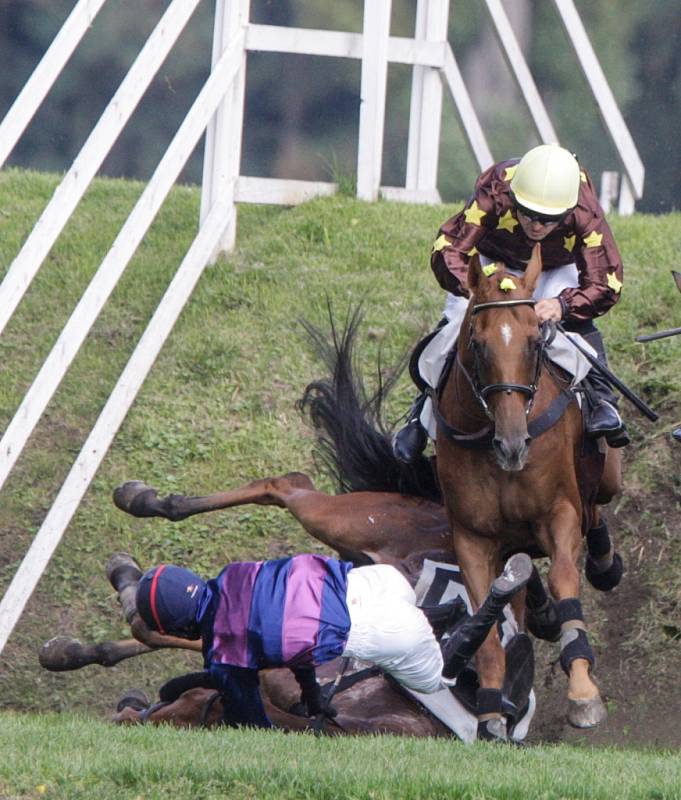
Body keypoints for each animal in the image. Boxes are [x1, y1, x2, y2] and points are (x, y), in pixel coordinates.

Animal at [436, 247, 620, 736]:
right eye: (479, 344)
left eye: (536, 341)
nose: (514, 444)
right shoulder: (472, 537)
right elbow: (485, 617)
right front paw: (490, 710)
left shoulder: (559, 513)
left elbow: (565, 580)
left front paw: (583, 692)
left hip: (605, 479)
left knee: (596, 512)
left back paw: (604, 564)